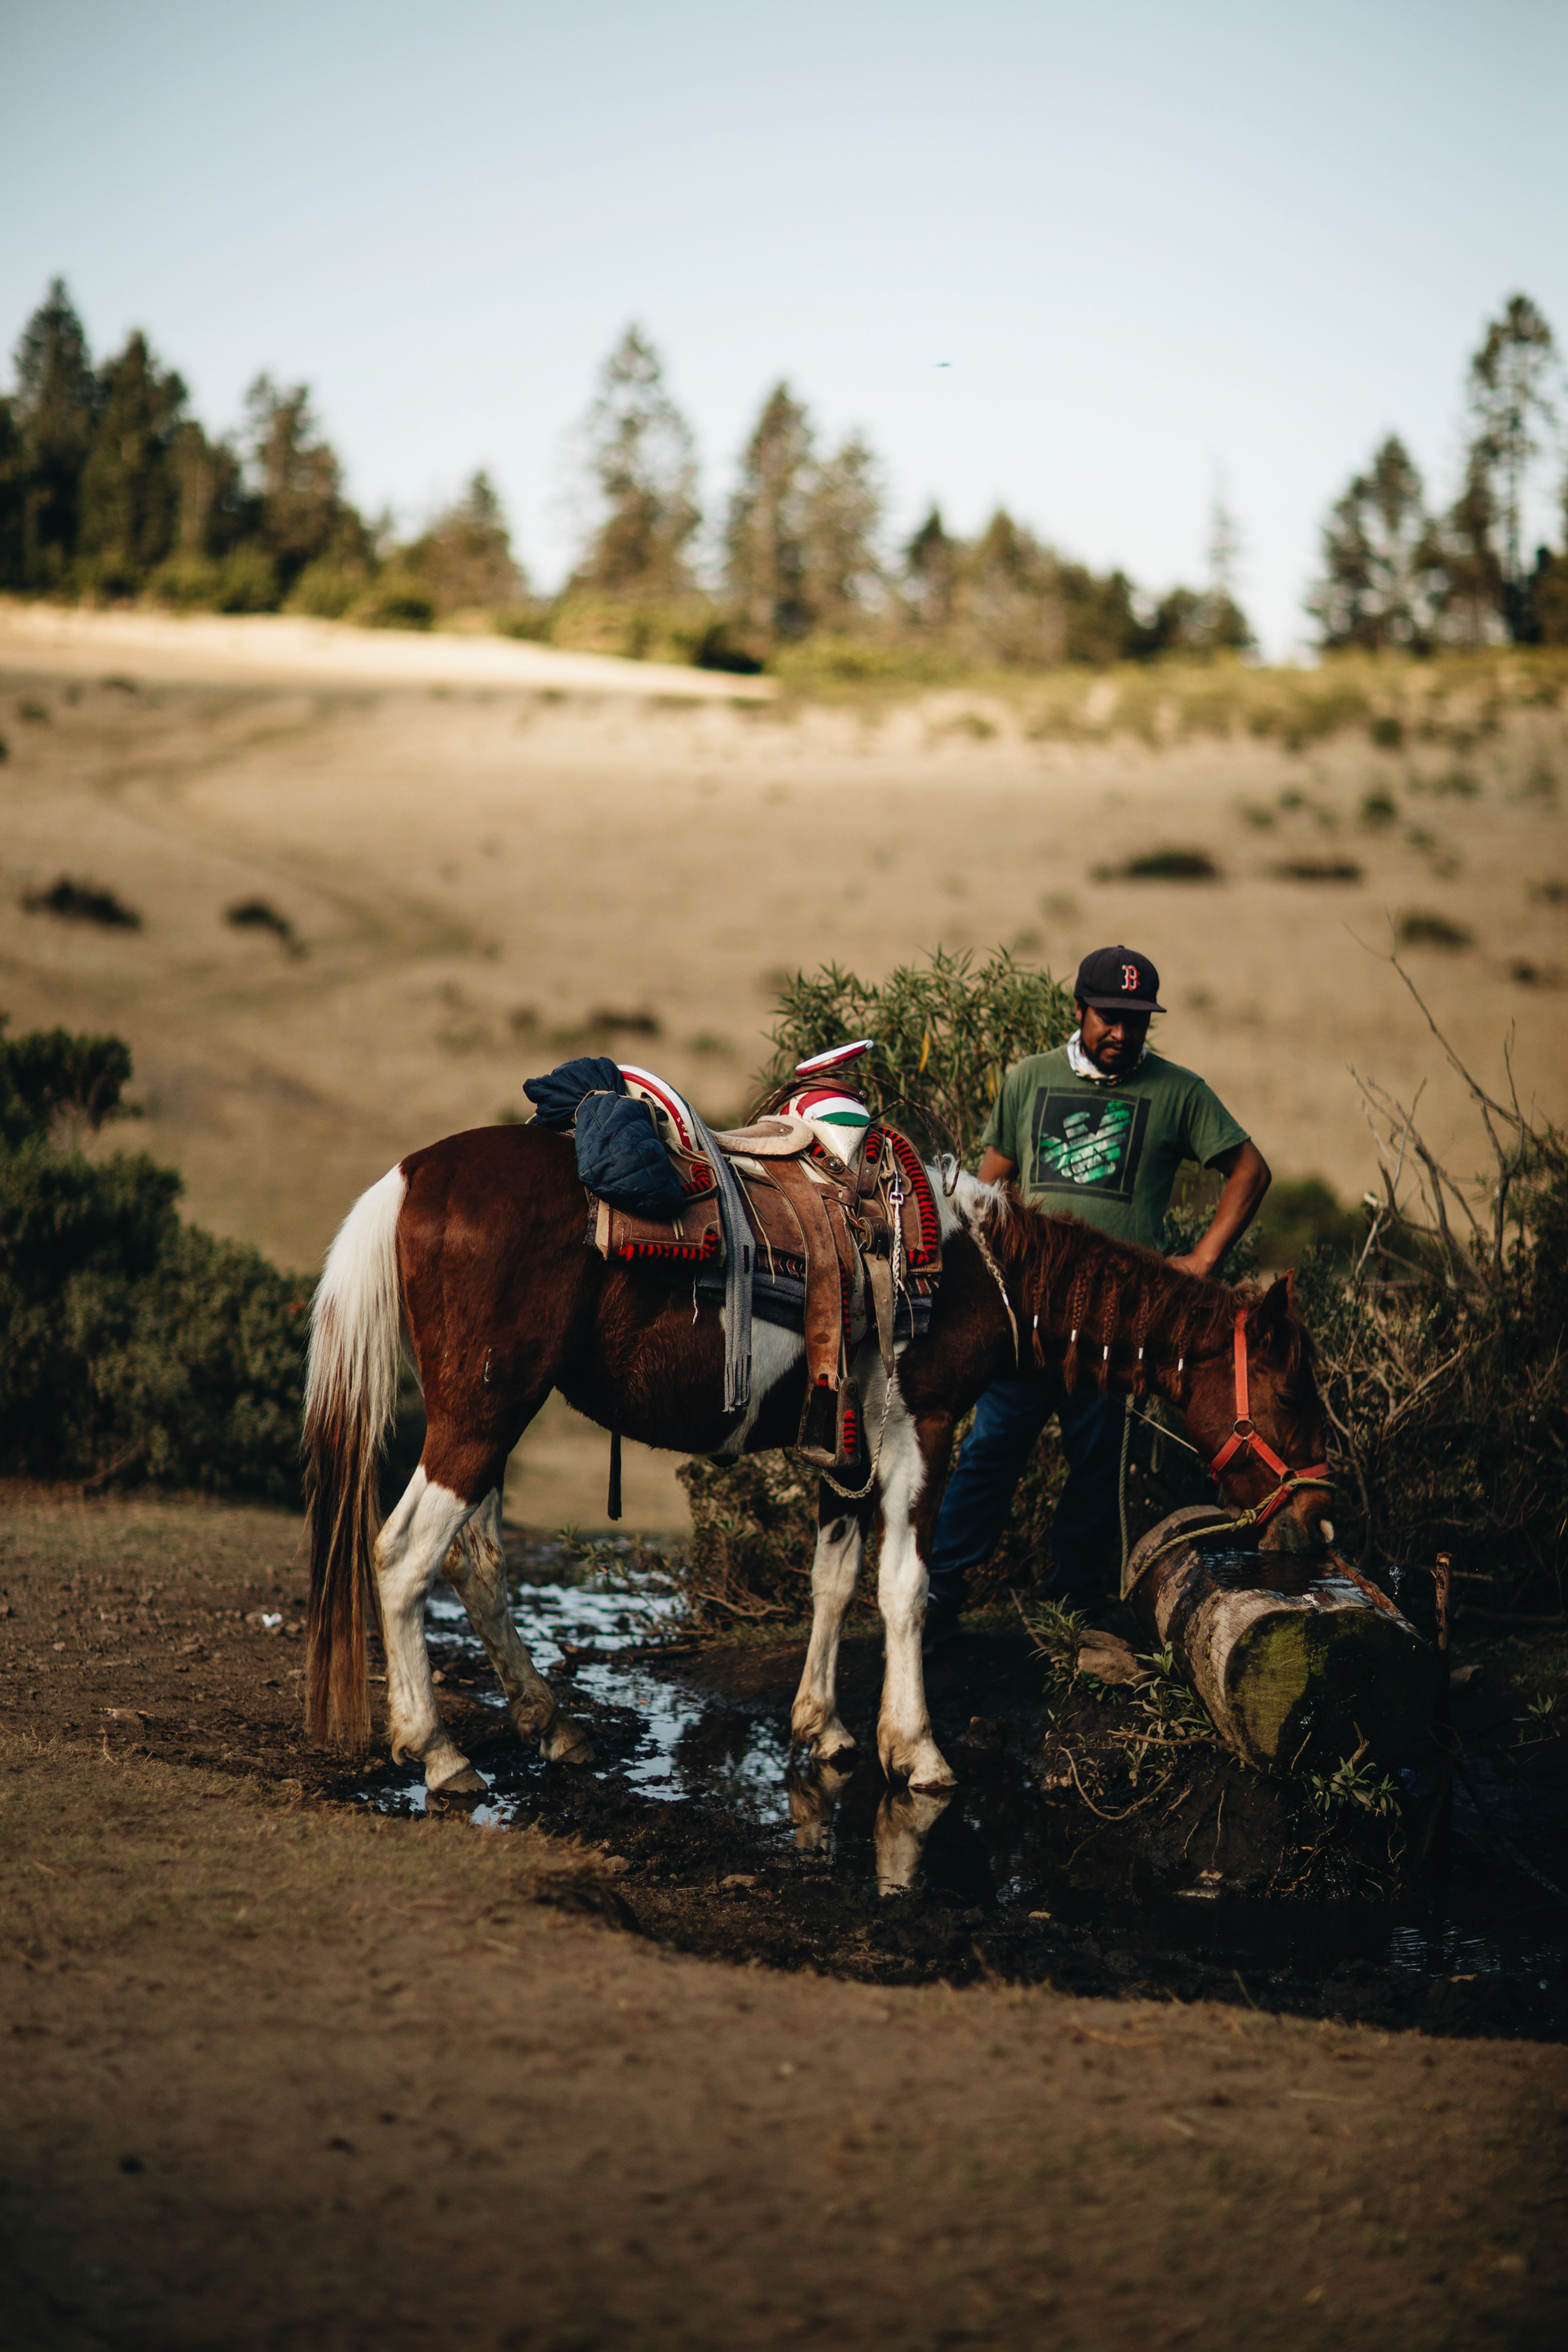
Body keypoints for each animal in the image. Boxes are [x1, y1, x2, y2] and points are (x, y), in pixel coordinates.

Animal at [303, 1120, 1331, 1799]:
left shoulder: (847, 1442)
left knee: (476, 1561)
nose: (1314, 1520)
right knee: (402, 1556)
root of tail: (412, 1176)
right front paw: (914, 1750)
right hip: (482, 1413)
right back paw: (437, 1751)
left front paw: (824, 1728)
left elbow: (834, 1581)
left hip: (496, 1412)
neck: (972, 1269)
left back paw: (551, 1725)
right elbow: (904, 1586)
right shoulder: (919, 1428)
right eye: (1294, 1393)